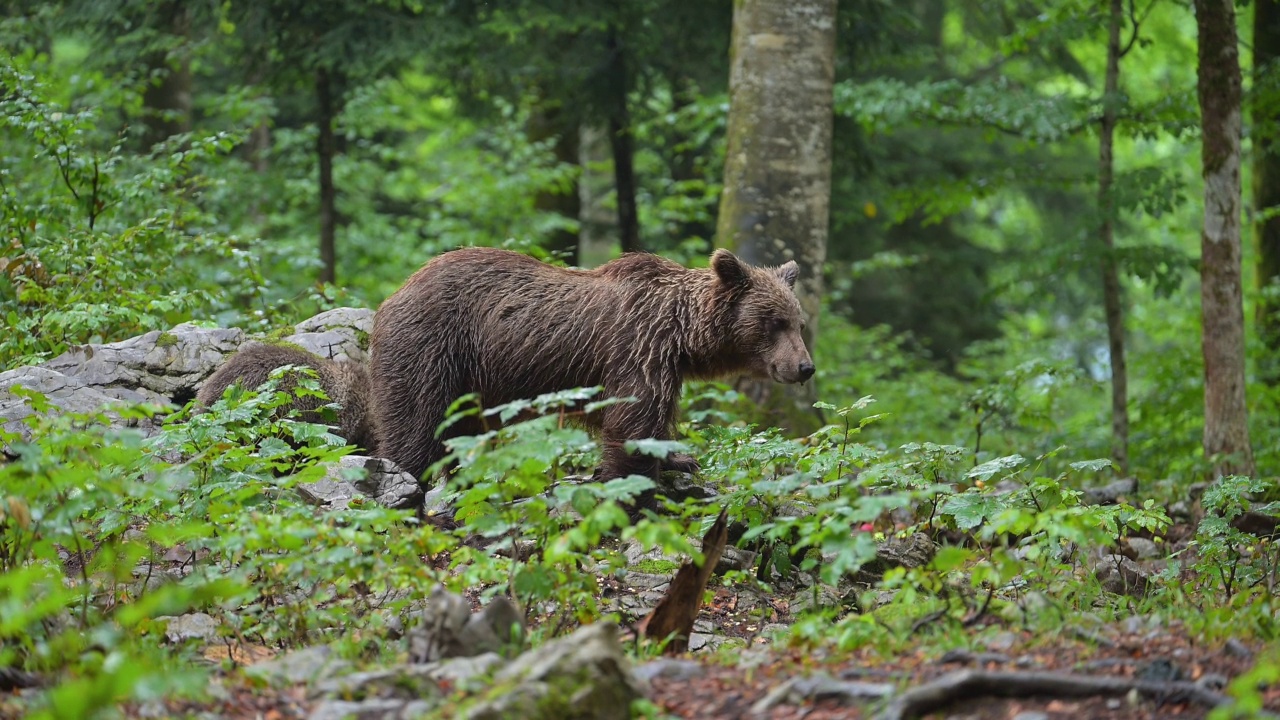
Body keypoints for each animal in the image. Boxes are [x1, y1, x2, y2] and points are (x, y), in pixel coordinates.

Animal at [366, 245, 814, 481]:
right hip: (435, 348)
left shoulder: (661, 363)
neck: (682, 333)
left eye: (799, 322)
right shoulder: (637, 347)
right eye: (775, 322)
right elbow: (633, 422)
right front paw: (637, 478)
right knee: (417, 426)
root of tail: (393, 294)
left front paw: (679, 458)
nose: (804, 367)